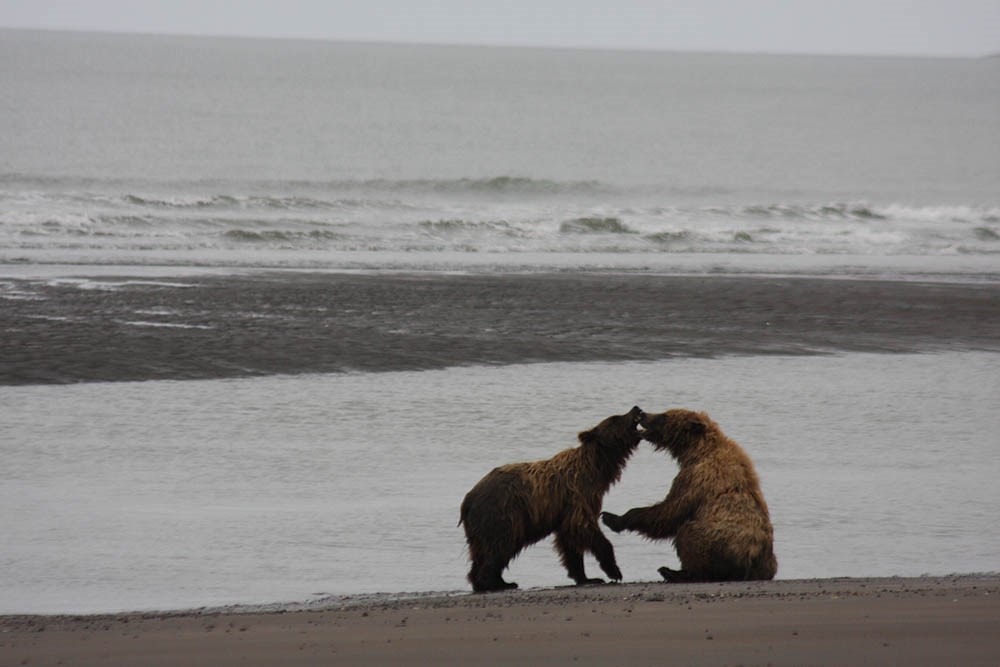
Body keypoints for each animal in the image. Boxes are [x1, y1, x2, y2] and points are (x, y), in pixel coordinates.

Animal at [458, 408, 640, 596]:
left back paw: (490, 581)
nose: (636, 408)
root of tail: (468, 499)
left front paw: (586, 577)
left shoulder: (569, 508)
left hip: (481, 526)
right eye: (616, 418)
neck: (596, 470)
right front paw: (613, 571)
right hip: (502, 513)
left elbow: (570, 542)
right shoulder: (578, 495)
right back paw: (496, 583)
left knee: (482, 552)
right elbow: (584, 528)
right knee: (499, 546)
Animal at [596, 410, 776, 580]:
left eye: (664, 415)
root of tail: (754, 560)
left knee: (688, 534)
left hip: (722, 542)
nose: (642, 414)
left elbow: (670, 511)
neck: (696, 450)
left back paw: (673, 572)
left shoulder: (695, 477)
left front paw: (612, 518)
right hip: (767, 563)